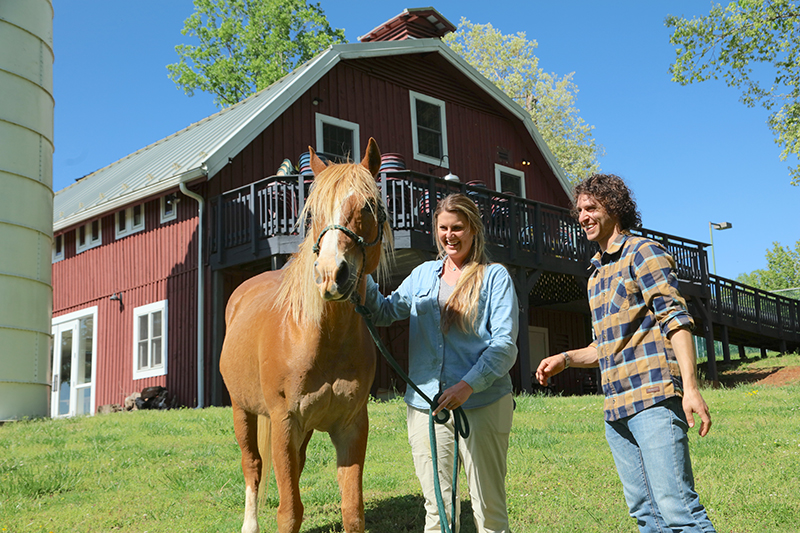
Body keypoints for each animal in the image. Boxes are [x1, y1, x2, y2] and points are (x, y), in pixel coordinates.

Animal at [219, 138, 394, 532]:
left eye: (368, 206)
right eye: (312, 213)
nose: (331, 275)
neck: (320, 338)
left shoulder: (351, 425)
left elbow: (352, 509)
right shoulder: (285, 421)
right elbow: (289, 512)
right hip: (242, 411)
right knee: (253, 467)